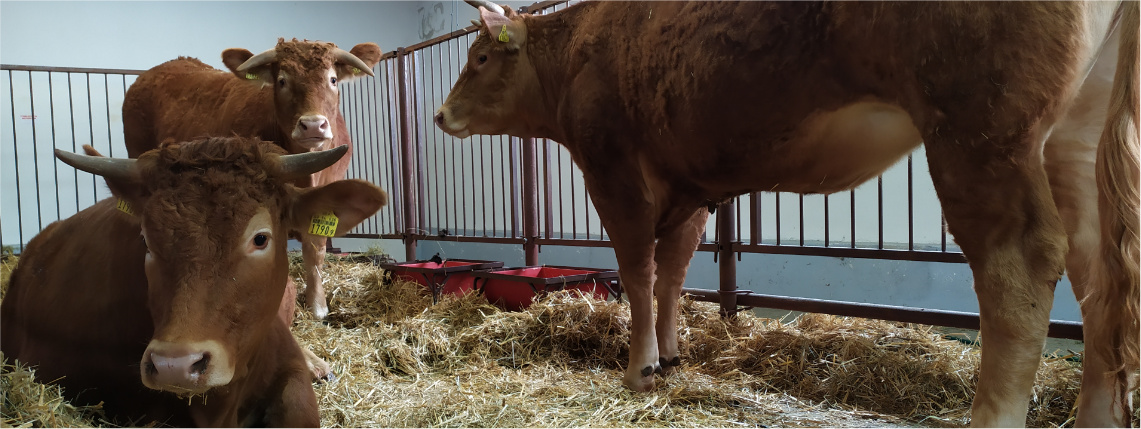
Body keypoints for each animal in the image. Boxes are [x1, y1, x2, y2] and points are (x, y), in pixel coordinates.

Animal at [431, 2, 1136, 426]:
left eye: (481, 59)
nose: (439, 114)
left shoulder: (613, 169)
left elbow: (636, 271)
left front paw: (639, 369)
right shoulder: (688, 190)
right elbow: (672, 274)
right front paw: (671, 354)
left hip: (981, 126)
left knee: (1020, 261)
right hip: (1073, 136)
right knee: (1097, 268)